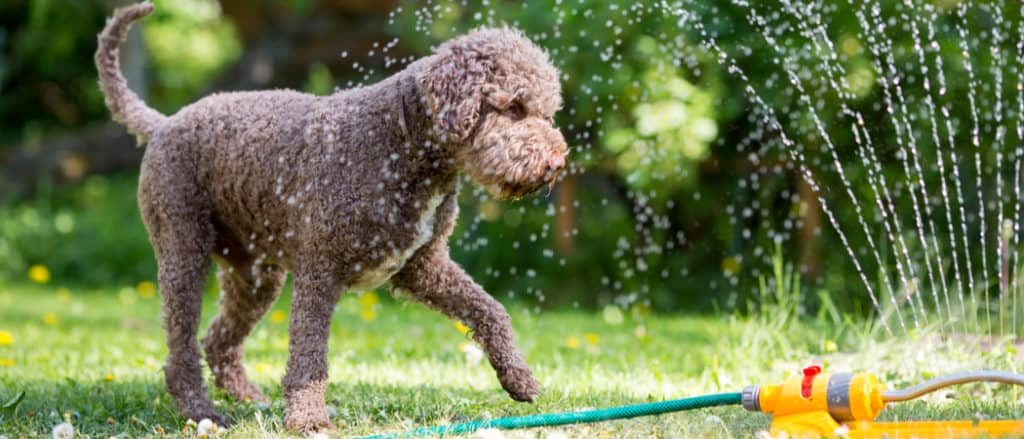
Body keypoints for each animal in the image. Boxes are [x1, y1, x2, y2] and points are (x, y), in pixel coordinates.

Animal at [96, 0, 569, 431]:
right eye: (514, 107)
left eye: (547, 112)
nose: (556, 162)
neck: (398, 144)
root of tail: (163, 123)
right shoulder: (319, 272)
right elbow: (309, 358)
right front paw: (307, 418)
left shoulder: (423, 266)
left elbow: (491, 311)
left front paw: (518, 377)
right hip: (184, 255)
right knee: (182, 350)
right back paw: (200, 410)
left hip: (256, 277)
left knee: (218, 340)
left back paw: (248, 397)